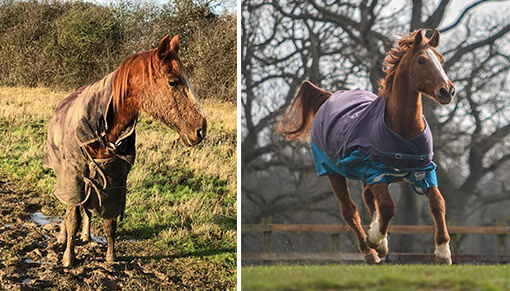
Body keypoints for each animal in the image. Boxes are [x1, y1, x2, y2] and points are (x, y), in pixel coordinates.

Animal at [41, 35, 205, 268]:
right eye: (173, 81)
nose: (201, 129)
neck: (103, 127)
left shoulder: (114, 179)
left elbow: (109, 222)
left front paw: (110, 258)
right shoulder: (75, 177)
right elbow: (73, 218)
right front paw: (68, 258)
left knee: (87, 209)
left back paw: (86, 235)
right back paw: (64, 236)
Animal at [280, 30, 456, 266]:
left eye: (441, 59)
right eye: (421, 60)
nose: (447, 90)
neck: (403, 129)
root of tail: (329, 97)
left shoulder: (423, 171)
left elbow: (438, 203)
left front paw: (443, 252)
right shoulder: (377, 173)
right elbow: (388, 207)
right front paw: (374, 239)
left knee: (368, 200)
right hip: (333, 172)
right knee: (350, 210)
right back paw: (370, 251)